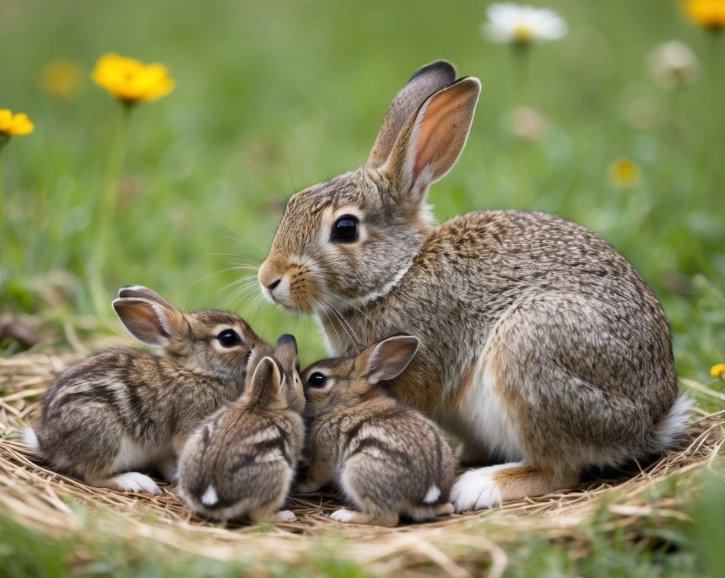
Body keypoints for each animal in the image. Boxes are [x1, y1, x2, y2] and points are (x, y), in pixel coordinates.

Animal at [23, 285, 274, 494]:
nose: (266, 347)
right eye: (228, 337)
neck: (199, 372)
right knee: (93, 475)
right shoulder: (191, 423)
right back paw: (137, 482)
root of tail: (50, 443)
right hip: (104, 433)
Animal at [177, 334, 305, 523]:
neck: (258, 403)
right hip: (277, 476)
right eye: (297, 380)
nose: (303, 400)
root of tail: (210, 496)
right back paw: (286, 516)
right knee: (260, 516)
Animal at [298, 335, 455, 527]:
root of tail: (427, 496)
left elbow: (316, 476)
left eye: (317, 379)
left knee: (386, 518)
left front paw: (302, 486)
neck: (349, 403)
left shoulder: (324, 453)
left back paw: (344, 515)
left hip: (356, 472)